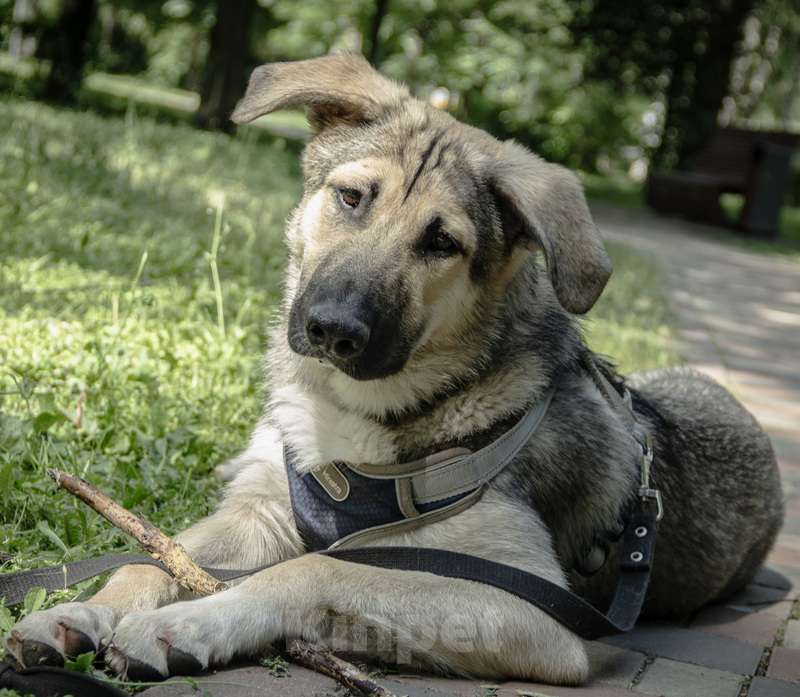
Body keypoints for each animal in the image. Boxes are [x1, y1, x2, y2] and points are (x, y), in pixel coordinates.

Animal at [4, 55, 780, 684]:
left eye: (442, 243)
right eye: (351, 197)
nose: (332, 331)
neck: (353, 414)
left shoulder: (528, 605)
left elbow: (318, 566)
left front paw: (186, 624)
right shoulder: (260, 509)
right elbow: (151, 556)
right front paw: (79, 612)